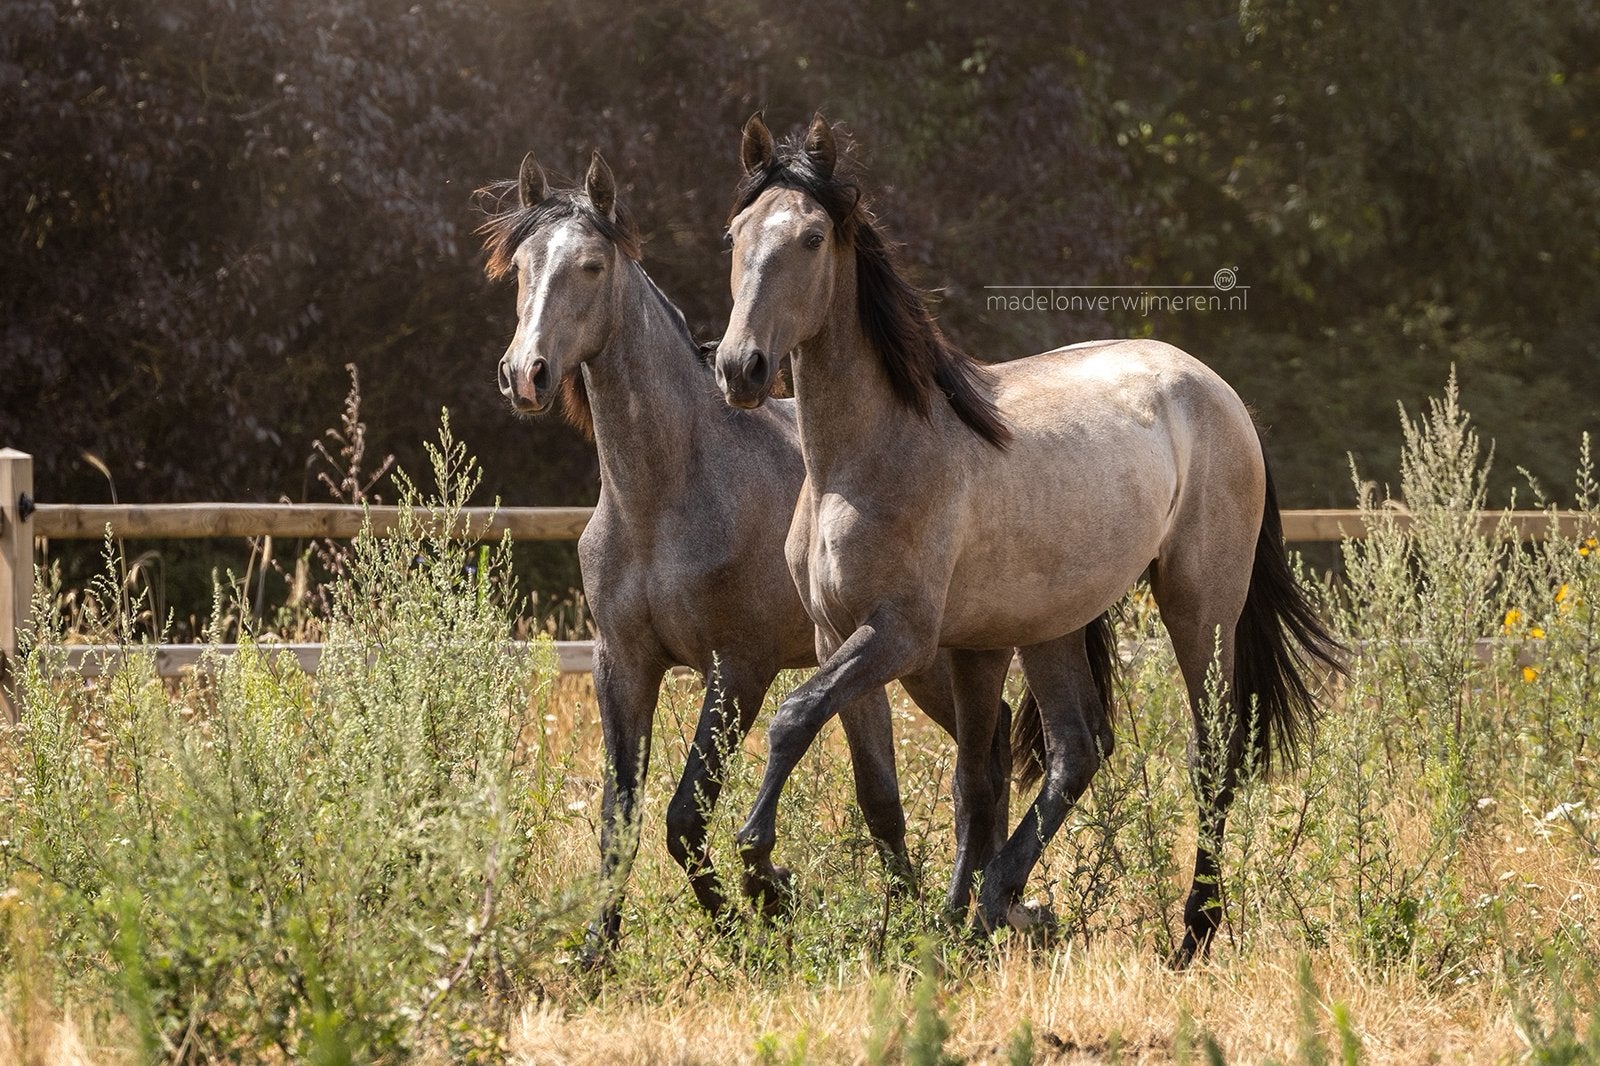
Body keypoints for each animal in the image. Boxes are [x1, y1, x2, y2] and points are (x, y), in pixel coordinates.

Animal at [477, 150, 1100, 958]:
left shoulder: (740, 669)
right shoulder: (623, 664)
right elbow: (622, 818)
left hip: (927, 651)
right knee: (980, 756)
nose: (525, 374)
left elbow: (685, 815)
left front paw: (754, 914)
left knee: (987, 755)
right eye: (522, 265)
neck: (667, 496)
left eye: (590, 265)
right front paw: (596, 952)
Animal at [713, 113, 1344, 964]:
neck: (869, 455)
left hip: (1200, 602)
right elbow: (924, 786)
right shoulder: (860, 637)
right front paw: (934, 921)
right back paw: (1000, 899)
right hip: (1055, 624)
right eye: (736, 233)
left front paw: (761, 872)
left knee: (1212, 751)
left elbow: (794, 721)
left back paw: (1193, 932)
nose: (739, 368)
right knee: (1079, 748)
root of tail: (1217, 392)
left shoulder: (902, 635)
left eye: (812, 238)